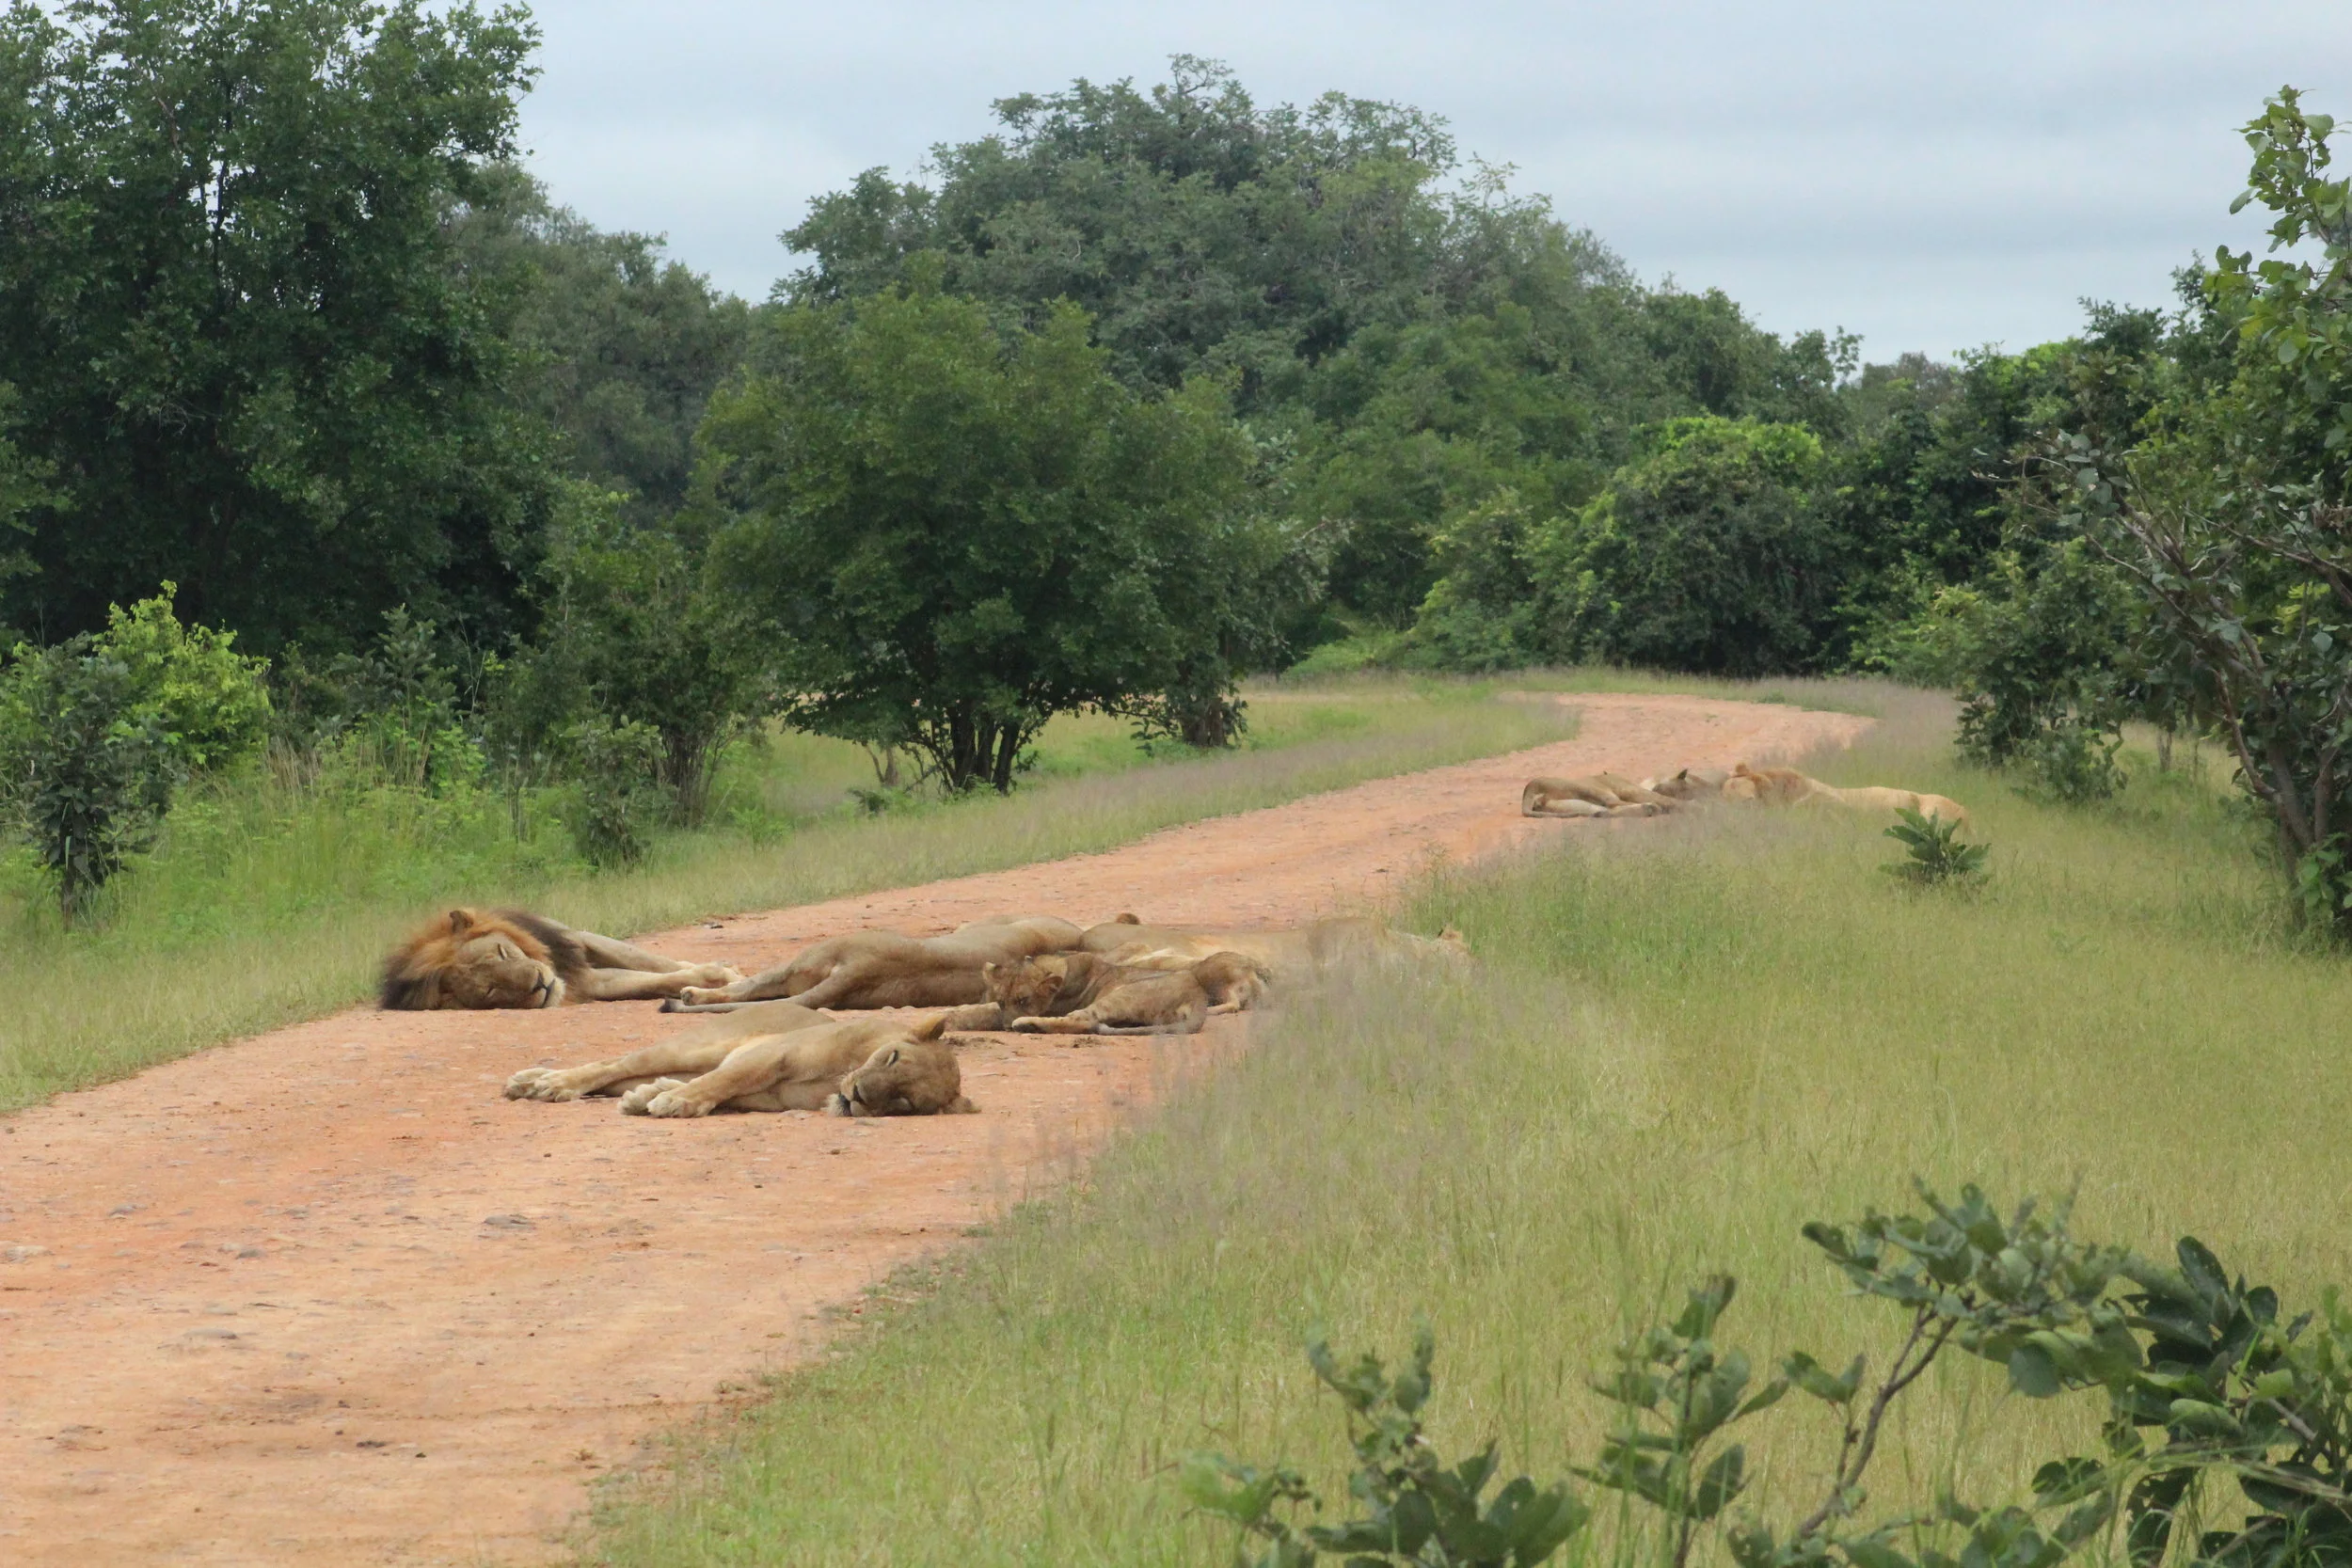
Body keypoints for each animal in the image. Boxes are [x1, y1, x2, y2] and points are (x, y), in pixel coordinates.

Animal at [380, 908, 744, 1010]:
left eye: (501, 952)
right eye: (491, 990)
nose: (540, 984)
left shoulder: (574, 940)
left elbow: (653, 963)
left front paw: (731, 973)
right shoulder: (588, 982)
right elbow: (658, 978)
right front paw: (716, 978)